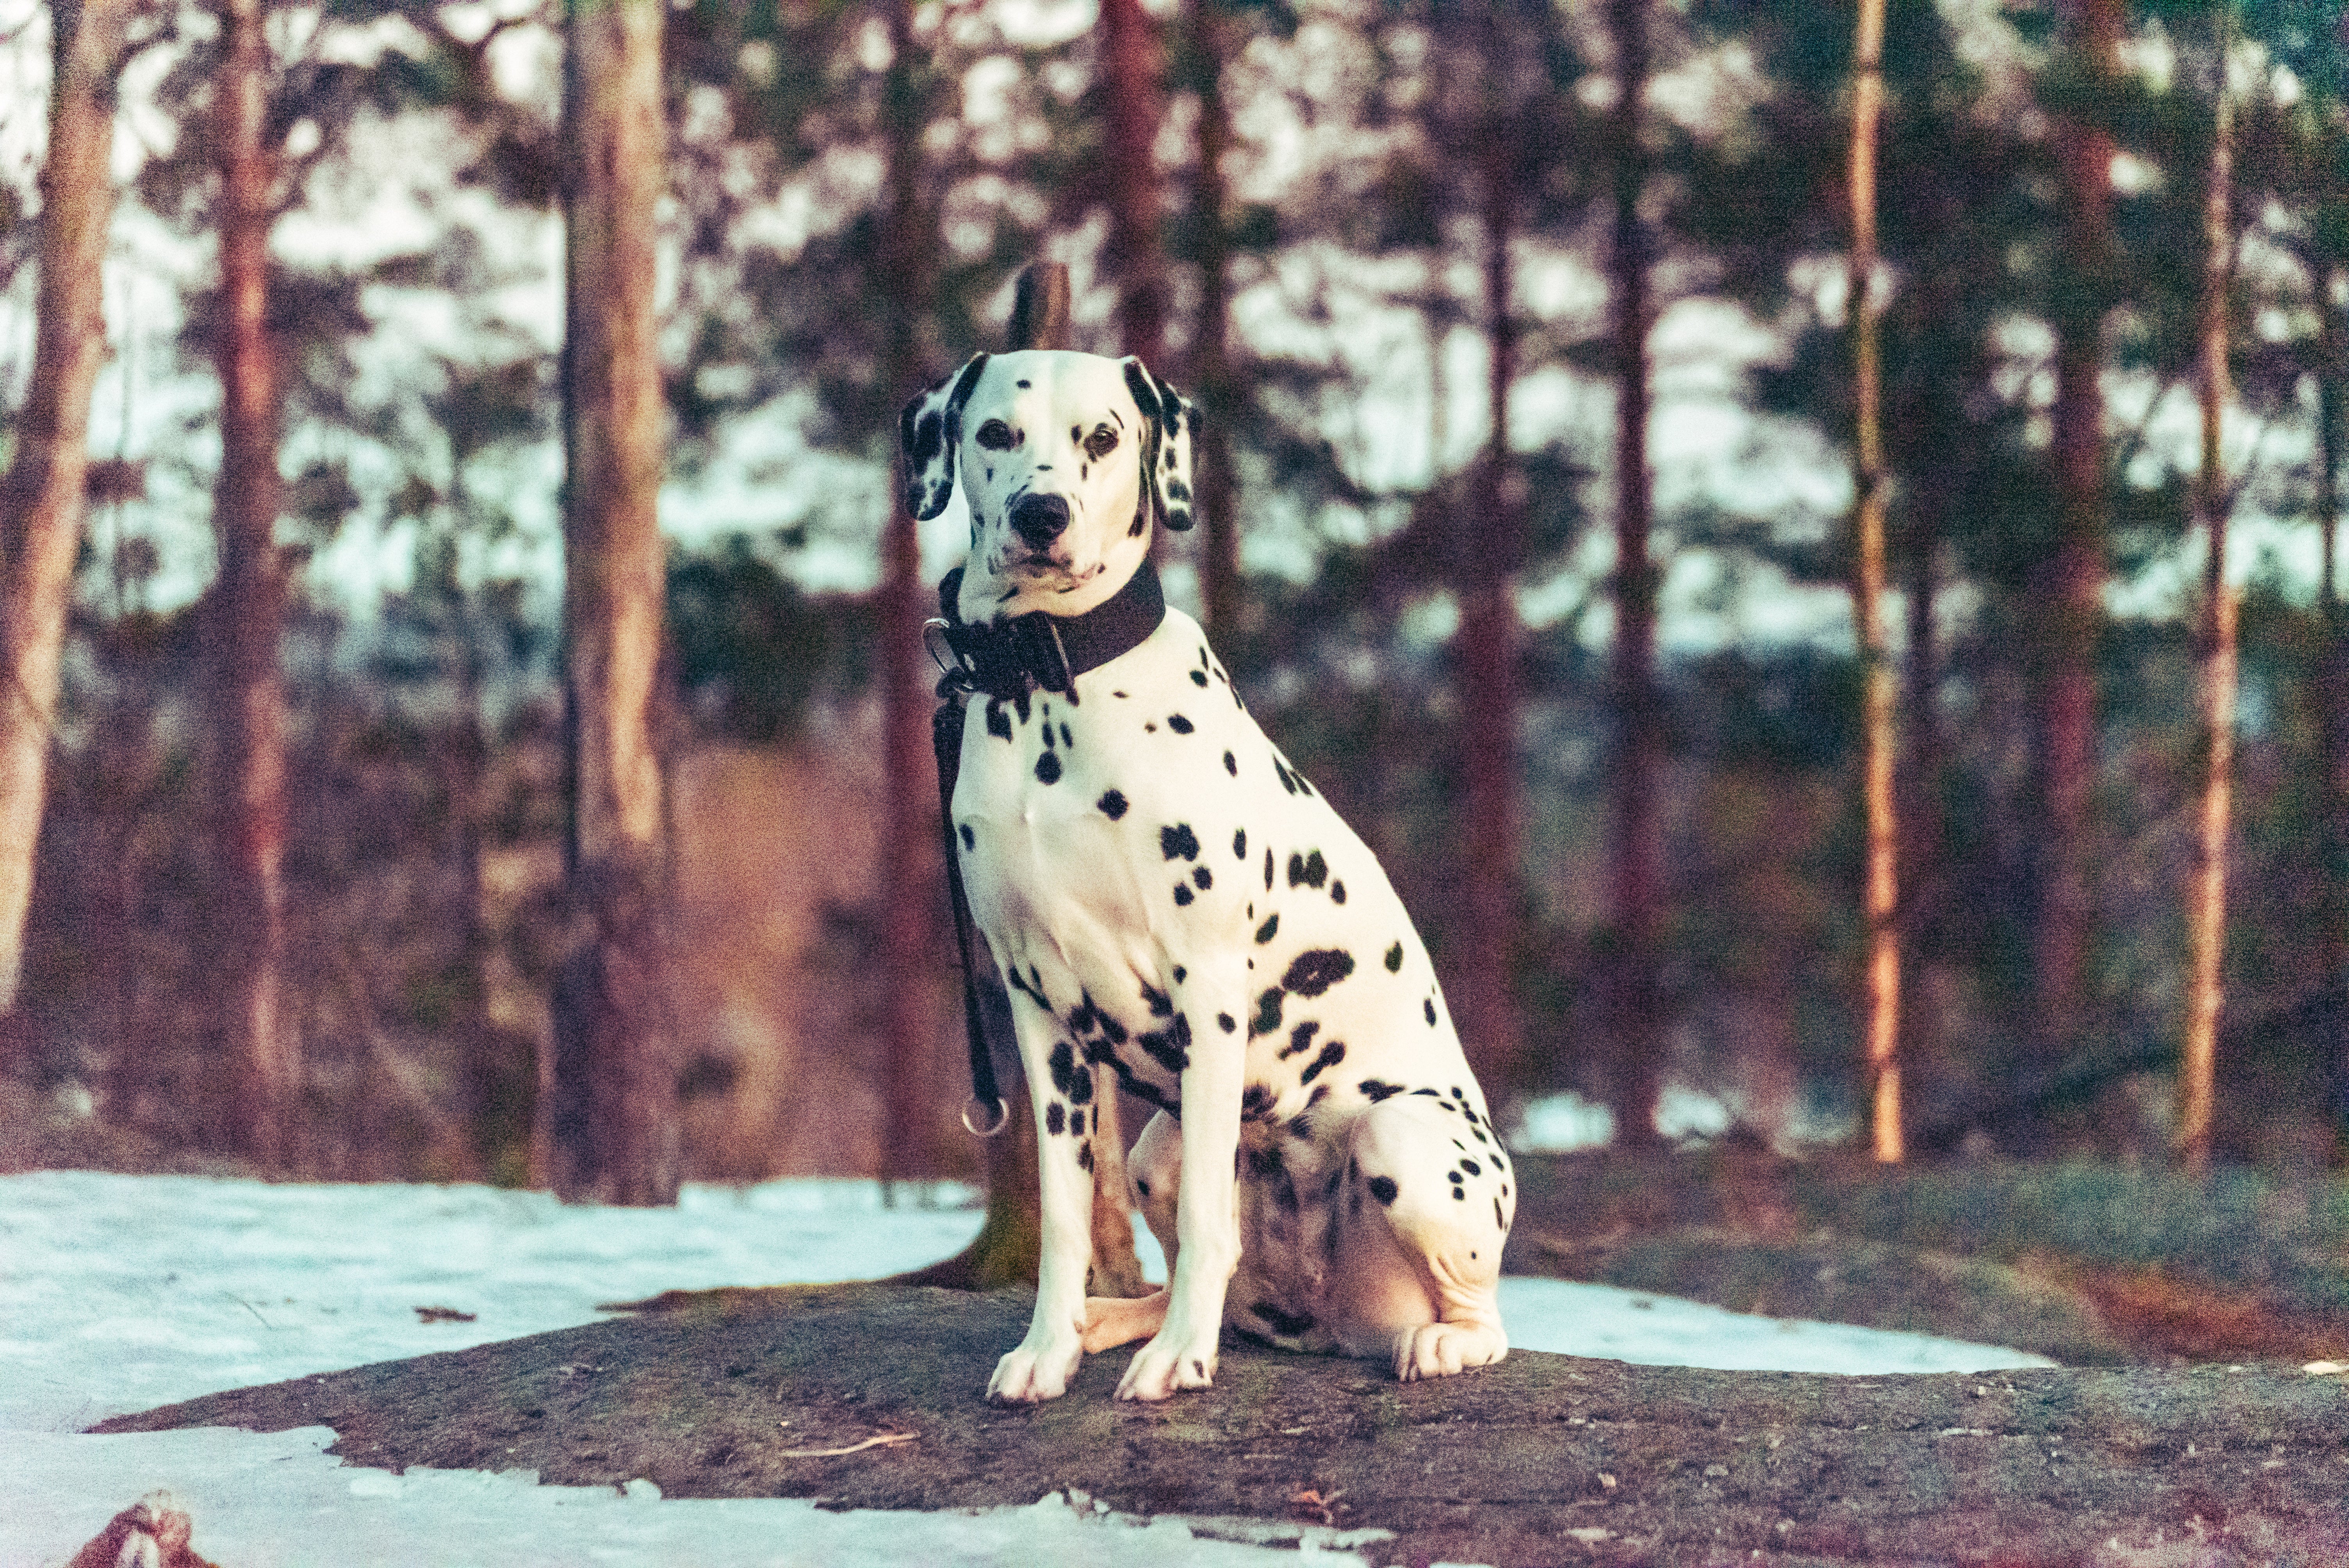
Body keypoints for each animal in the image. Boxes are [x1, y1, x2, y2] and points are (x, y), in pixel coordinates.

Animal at [907, 349, 1513, 1399]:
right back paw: (1113, 1324)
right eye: (993, 433)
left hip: (1407, 1139)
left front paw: (1181, 1360)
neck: (1050, 685)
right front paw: (1047, 1346)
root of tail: (1329, 1316)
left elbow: (1201, 1222)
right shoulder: (1037, 1012)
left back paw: (1434, 1342)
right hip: (1159, 1145)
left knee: (1482, 1316)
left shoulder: (1210, 990)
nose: (1041, 515)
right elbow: (1066, 1214)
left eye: (1103, 437)